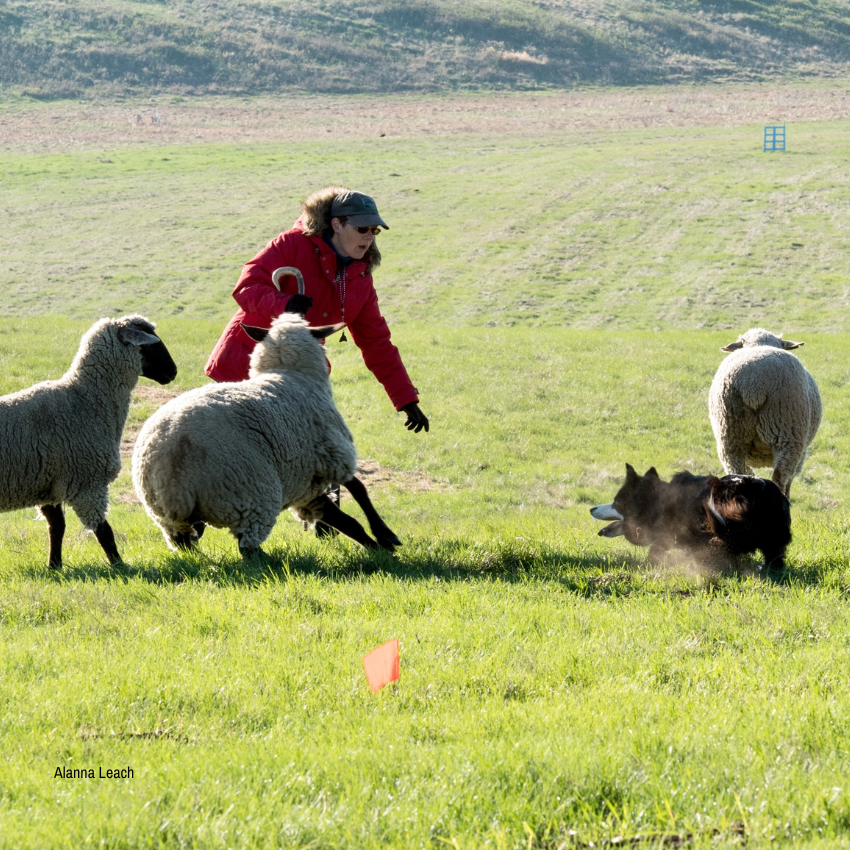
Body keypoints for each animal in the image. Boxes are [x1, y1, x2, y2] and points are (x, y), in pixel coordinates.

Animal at [0, 314, 176, 568]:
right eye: (149, 344)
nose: (173, 371)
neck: (86, 398)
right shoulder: (87, 484)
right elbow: (104, 532)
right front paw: (119, 566)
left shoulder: (50, 484)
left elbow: (57, 528)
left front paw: (54, 566)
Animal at [130, 312, 400, 556]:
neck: (290, 374)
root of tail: (170, 474)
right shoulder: (331, 452)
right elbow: (359, 489)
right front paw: (385, 536)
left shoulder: (305, 482)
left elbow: (341, 518)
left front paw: (377, 547)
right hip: (250, 497)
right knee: (248, 550)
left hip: (170, 520)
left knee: (186, 544)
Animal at [588, 464, 788, 568]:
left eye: (616, 503)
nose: (591, 509)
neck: (658, 504)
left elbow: (656, 550)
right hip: (773, 540)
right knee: (775, 559)